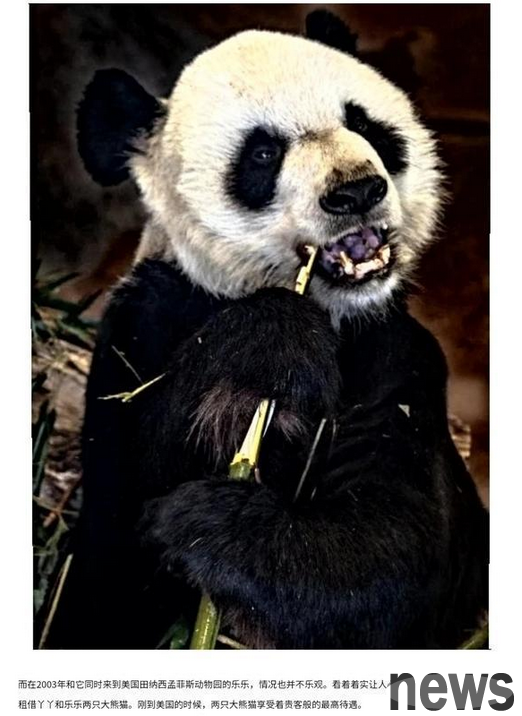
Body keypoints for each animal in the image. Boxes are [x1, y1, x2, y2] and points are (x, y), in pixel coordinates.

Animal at [49, 10, 488, 649]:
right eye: (262, 154)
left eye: (363, 123)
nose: (357, 191)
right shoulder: (136, 333)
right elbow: (107, 567)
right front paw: (271, 346)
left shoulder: (398, 361)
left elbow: (393, 559)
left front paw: (208, 526)